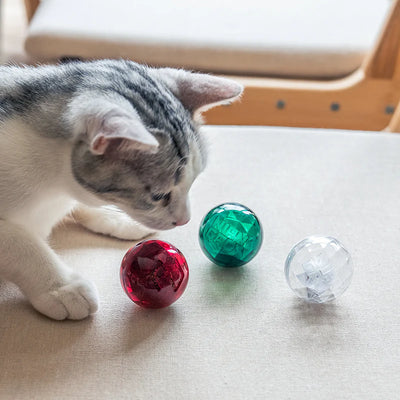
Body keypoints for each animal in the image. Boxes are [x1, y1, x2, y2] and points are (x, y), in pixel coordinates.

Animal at [0, 59, 244, 320]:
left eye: (193, 181)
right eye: (159, 195)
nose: (185, 220)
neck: (54, 188)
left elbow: (80, 206)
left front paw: (117, 218)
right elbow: (18, 240)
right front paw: (62, 286)